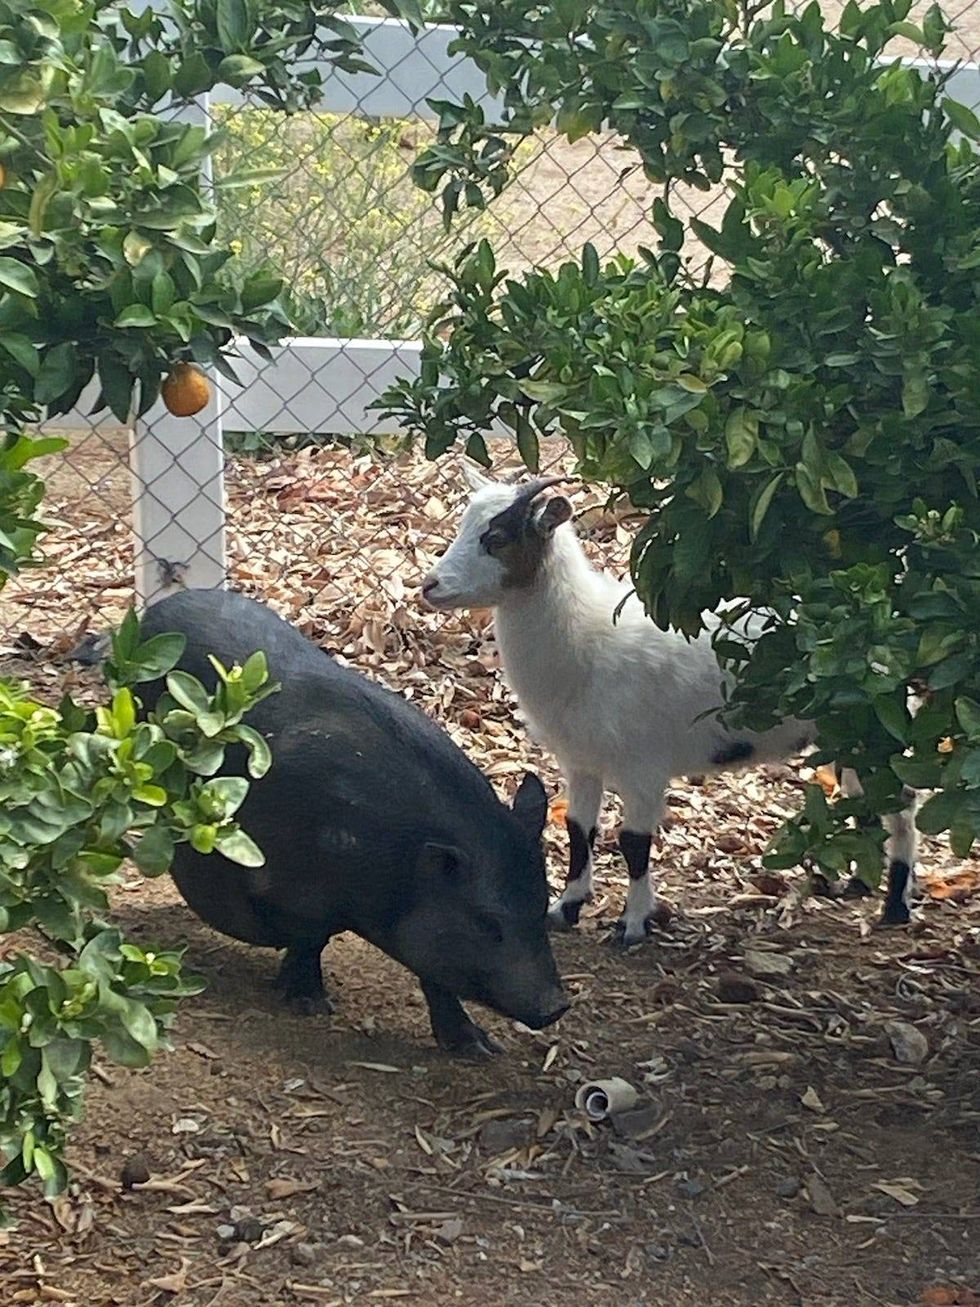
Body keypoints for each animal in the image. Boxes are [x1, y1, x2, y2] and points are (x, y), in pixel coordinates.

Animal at [139, 588, 568, 1056]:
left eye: (542, 905)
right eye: (488, 923)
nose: (556, 1006)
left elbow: (435, 974)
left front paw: (479, 1050)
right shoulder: (294, 887)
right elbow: (312, 937)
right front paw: (309, 1004)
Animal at [421, 469, 919, 943]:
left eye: (497, 538)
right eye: (464, 525)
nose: (430, 585)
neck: (587, 642)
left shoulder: (642, 766)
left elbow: (633, 843)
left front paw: (632, 925)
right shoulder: (580, 760)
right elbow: (580, 831)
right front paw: (565, 909)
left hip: (880, 730)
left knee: (902, 805)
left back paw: (895, 906)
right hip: (842, 735)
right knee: (866, 800)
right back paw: (859, 885)